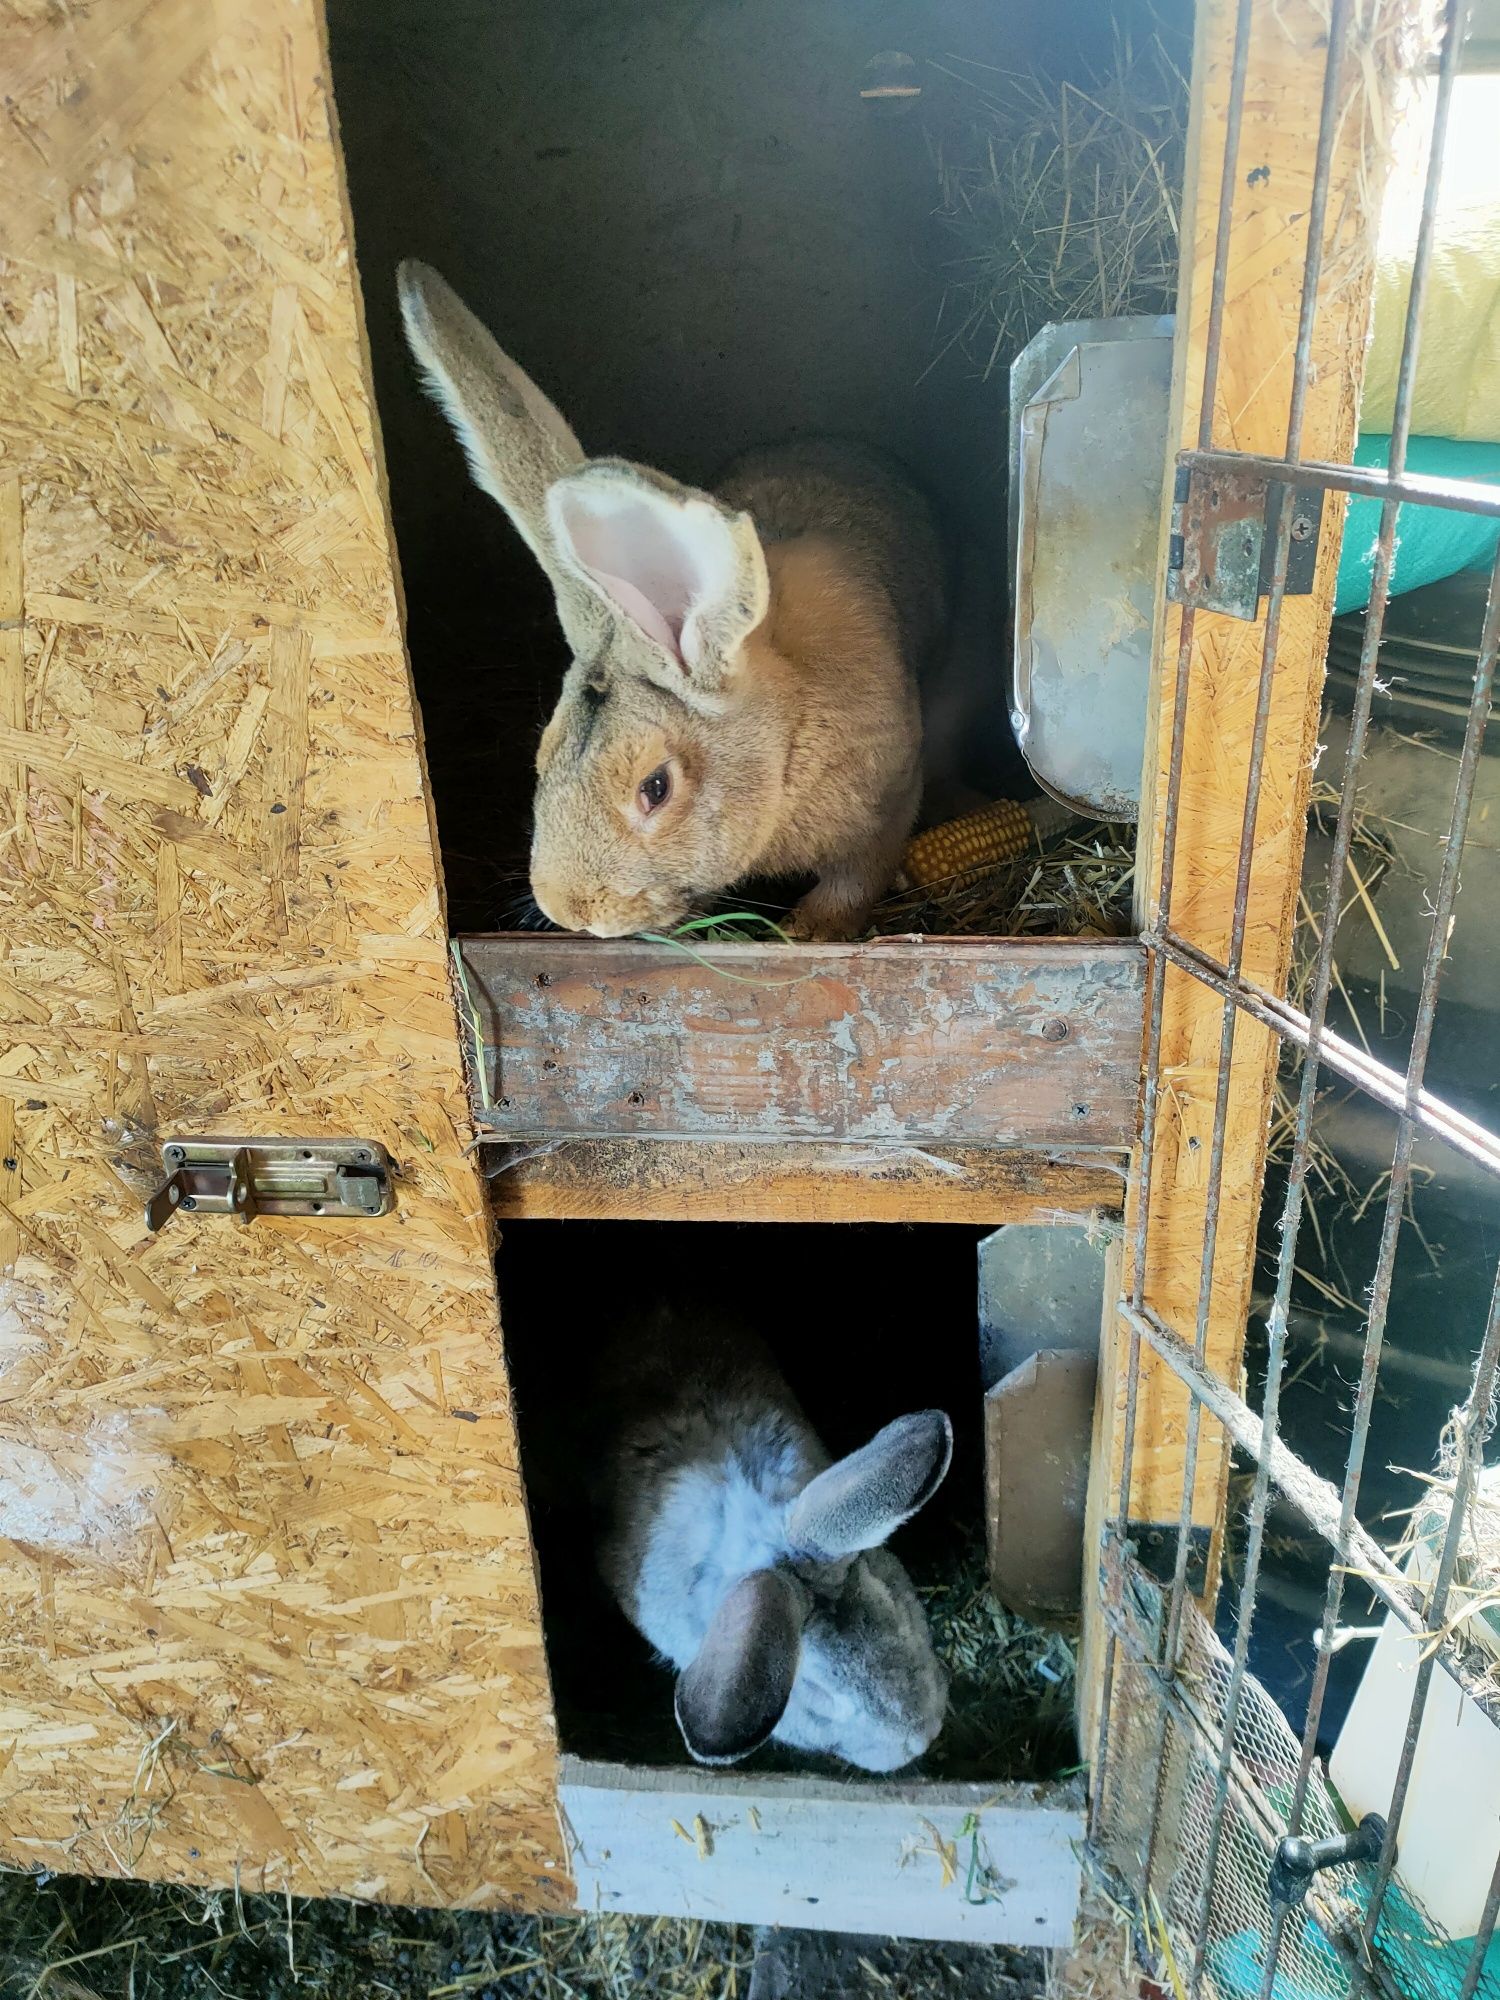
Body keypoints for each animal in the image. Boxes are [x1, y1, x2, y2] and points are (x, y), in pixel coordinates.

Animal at [394, 262, 944, 940]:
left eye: (654, 787)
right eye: (544, 754)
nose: (569, 909)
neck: (788, 736)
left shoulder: (889, 805)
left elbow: (855, 880)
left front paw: (810, 932)